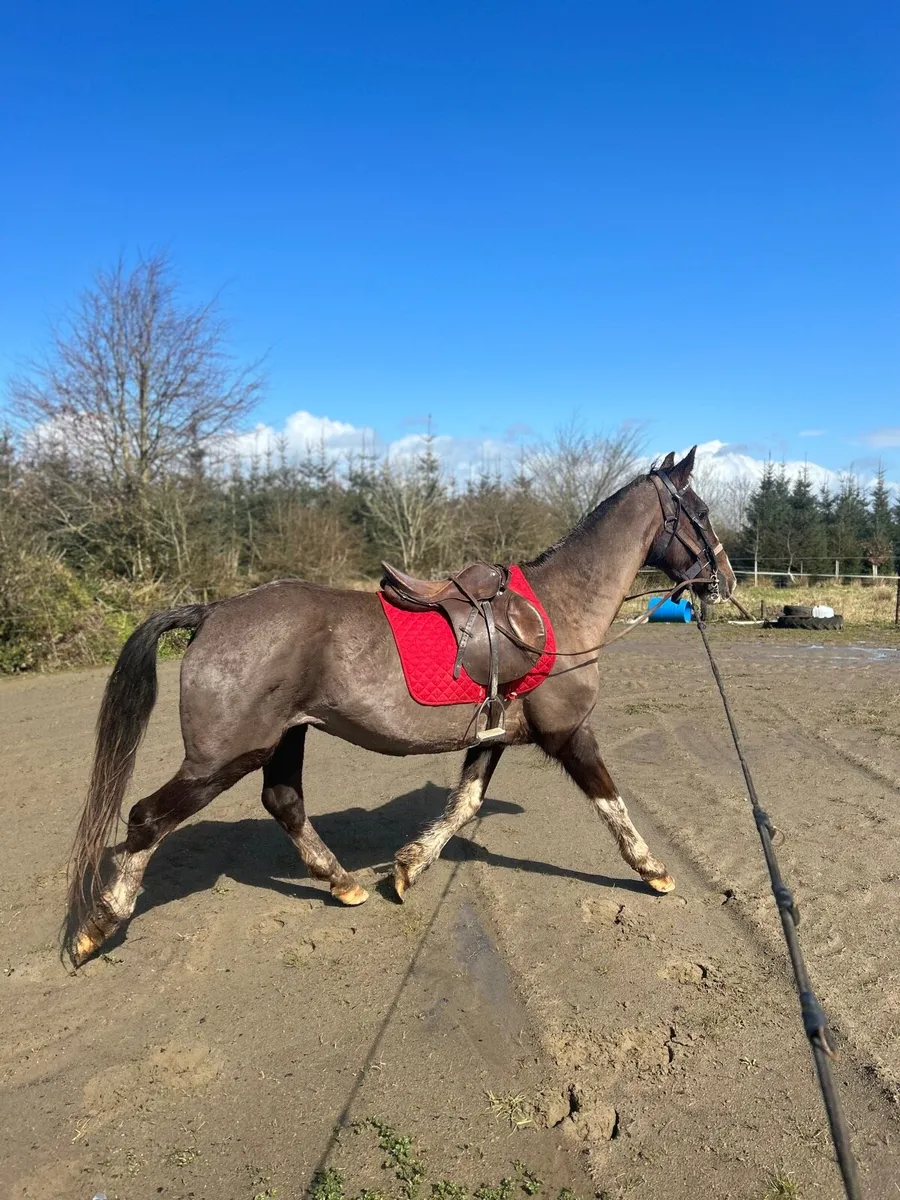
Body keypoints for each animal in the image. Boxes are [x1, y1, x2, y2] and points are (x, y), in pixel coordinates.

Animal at [65, 446, 736, 966]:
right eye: (701, 514)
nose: (724, 581)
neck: (560, 608)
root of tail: (211, 613)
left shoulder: (491, 738)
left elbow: (463, 806)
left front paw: (408, 867)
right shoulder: (571, 733)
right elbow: (611, 803)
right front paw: (653, 869)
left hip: (284, 738)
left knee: (283, 803)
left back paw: (342, 884)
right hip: (223, 758)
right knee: (147, 819)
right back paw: (98, 925)